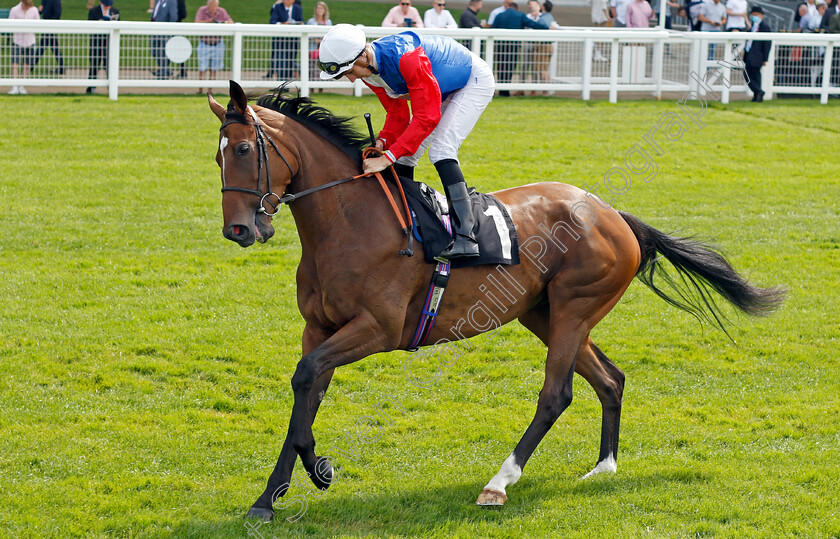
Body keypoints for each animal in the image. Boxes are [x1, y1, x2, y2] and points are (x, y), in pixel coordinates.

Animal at [208, 79, 780, 520]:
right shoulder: (319, 329)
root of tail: (613, 213)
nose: (239, 229)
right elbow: (305, 393)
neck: (350, 223)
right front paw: (269, 497)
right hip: (544, 314)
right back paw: (604, 466)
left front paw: (320, 470)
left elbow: (307, 379)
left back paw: (499, 482)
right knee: (610, 379)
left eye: (243, 150)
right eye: (215, 155)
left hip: (574, 308)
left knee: (557, 394)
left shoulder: (378, 329)